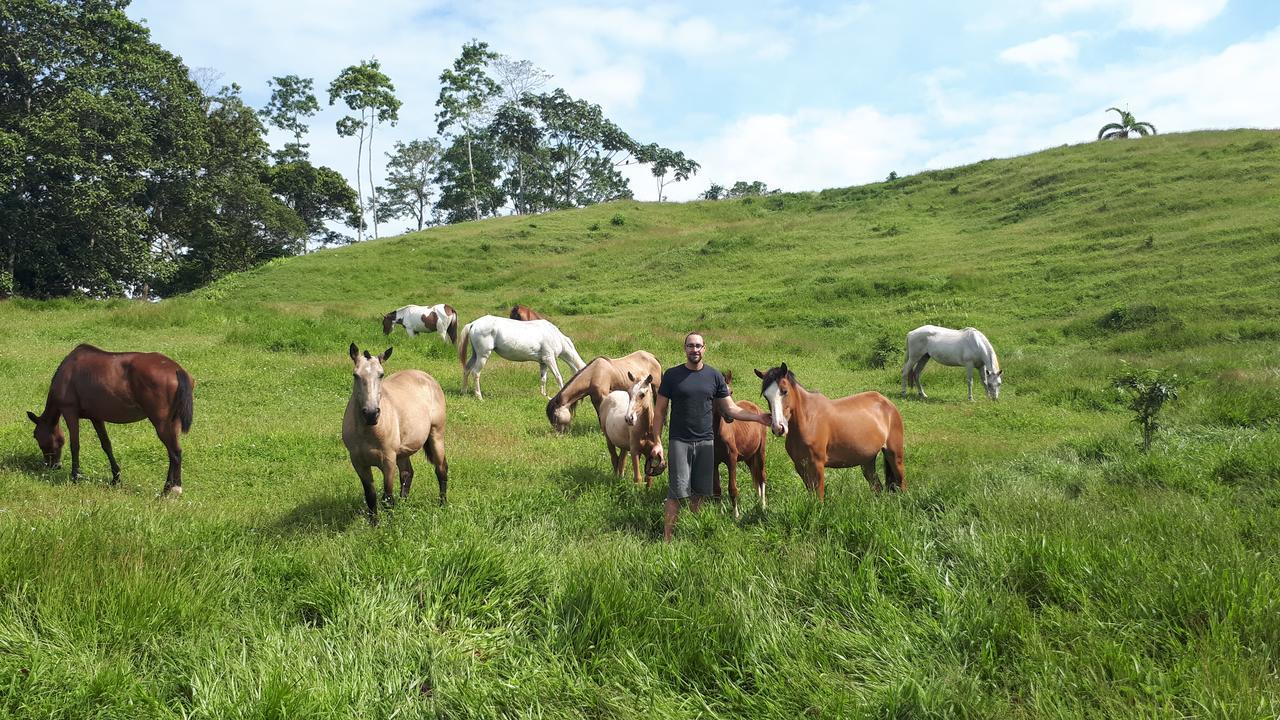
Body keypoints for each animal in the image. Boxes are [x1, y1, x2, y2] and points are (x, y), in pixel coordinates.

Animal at [27, 340, 193, 491]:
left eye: (35, 435)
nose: (52, 466)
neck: (67, 371)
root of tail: (176, 369)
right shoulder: (96, 417)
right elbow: (106, 445)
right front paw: (116, 478)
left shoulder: (70, 412)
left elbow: (75, 445)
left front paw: (75, 477)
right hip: (173, 422)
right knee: (175, 452)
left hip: (162, 423)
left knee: (174, 453)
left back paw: (169, 490)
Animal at [455, 313, 586, 397]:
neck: (555, 336)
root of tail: (473, 324)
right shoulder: (549, 359)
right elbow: (558, 377)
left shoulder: (543, 362)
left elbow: (543, 379)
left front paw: (544, 395)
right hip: (483, 355)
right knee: (475, 373)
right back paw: (479, 396)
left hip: (475, 355)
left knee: (467, 369)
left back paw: (464, 392)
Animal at [711, 368, 768, 515]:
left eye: (730, 392)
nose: (729, 416)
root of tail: (755, 407)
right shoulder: (714, 462)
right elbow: (717, 490)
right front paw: (720, 513)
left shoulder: (731, 459)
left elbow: (732, 488)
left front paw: (735, 515)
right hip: (748, 456)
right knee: (756, 476)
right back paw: (758, 501)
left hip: (760, 452)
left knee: (762, 476)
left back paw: (763, 505)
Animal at [752, 361, 906, 497]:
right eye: (766, 396)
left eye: (784, 391)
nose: (778, 428)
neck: (808, 420)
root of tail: (887, 403)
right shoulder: (801, 466)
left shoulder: (817, 466)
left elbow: (819, 496)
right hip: (867, 460)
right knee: (877, 487)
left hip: (894, 455)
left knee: (902, 485)